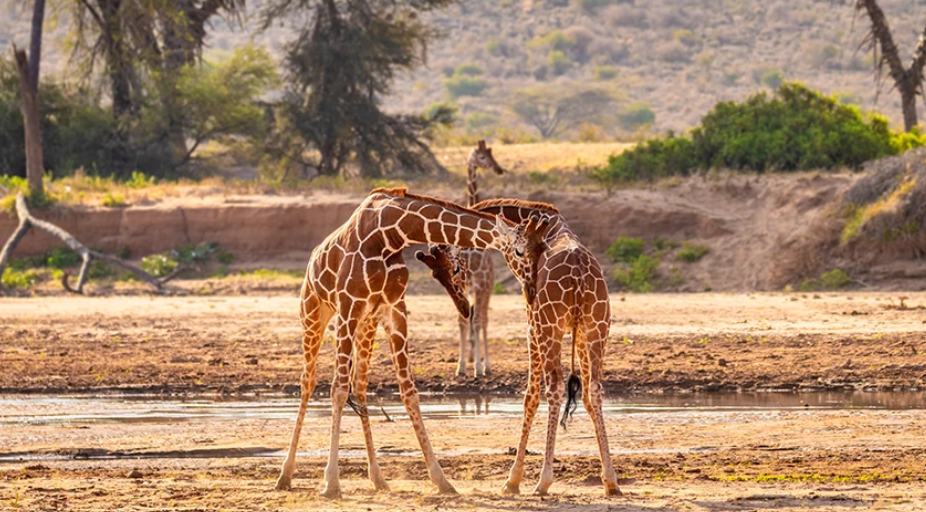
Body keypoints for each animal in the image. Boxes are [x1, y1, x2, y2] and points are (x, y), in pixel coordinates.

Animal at [276, 186, 548, 498]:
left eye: (541, 250)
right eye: (518, 251)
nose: (531, 290)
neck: (390, 233)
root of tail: (312, 261)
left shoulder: (393, 308)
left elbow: (408, 393)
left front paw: (441, 480)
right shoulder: (348, 307)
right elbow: (337, 390)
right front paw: (331, 483)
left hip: (367, 324)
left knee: (360, 387)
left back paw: (378, 479)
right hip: (313, 313)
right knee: (308, 382)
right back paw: (285, 475)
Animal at [428, 197, 624, 496]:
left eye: (455, 268)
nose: (462, 304)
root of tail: (579, 276)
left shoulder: (532, 326)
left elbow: (530, 396)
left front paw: (513, 480)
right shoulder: (578, 333)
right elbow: (588, 400)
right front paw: (607, 478)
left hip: (549, 328)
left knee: (554, 389)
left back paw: (543, 481)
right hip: (597, 328)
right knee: (594, 389)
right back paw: (612, 482)